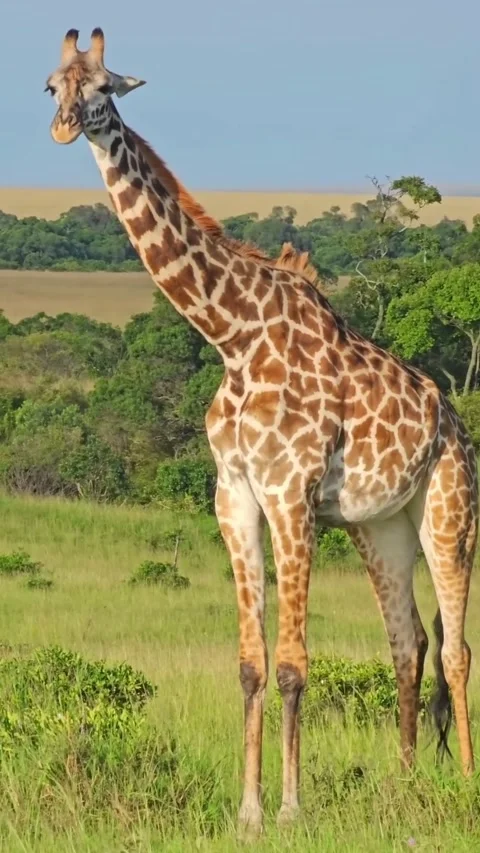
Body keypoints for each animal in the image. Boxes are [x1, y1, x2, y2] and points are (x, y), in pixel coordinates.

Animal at [46, 28, 478, 838]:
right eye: (52, 85)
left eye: (106, 88)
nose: (64, 125)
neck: (232, 336)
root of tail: (457, 424)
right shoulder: (235, 497)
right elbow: (250, 664)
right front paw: (247, 810)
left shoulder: (291, 495)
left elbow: (292, 665)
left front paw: (289, 807)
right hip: (382, 526)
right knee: (408, 644)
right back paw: (406, 784)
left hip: (451, 512)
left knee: (458, 649)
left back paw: (465, 785)